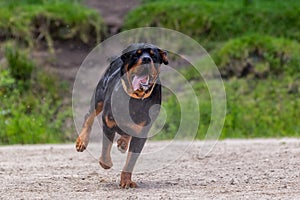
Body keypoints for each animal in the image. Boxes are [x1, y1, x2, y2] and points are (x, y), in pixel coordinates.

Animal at [75, 43, 169, 188]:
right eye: (136, 54)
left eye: (153, 55)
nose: (146, 59)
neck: (135, 98)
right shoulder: (107, 123)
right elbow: (106, 147)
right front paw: (105, 163)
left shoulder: (141, 134)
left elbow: (131, 160)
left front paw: (126, 180)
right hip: (99, 97)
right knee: (89, 116)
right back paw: (82, 141)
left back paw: (123, 142)